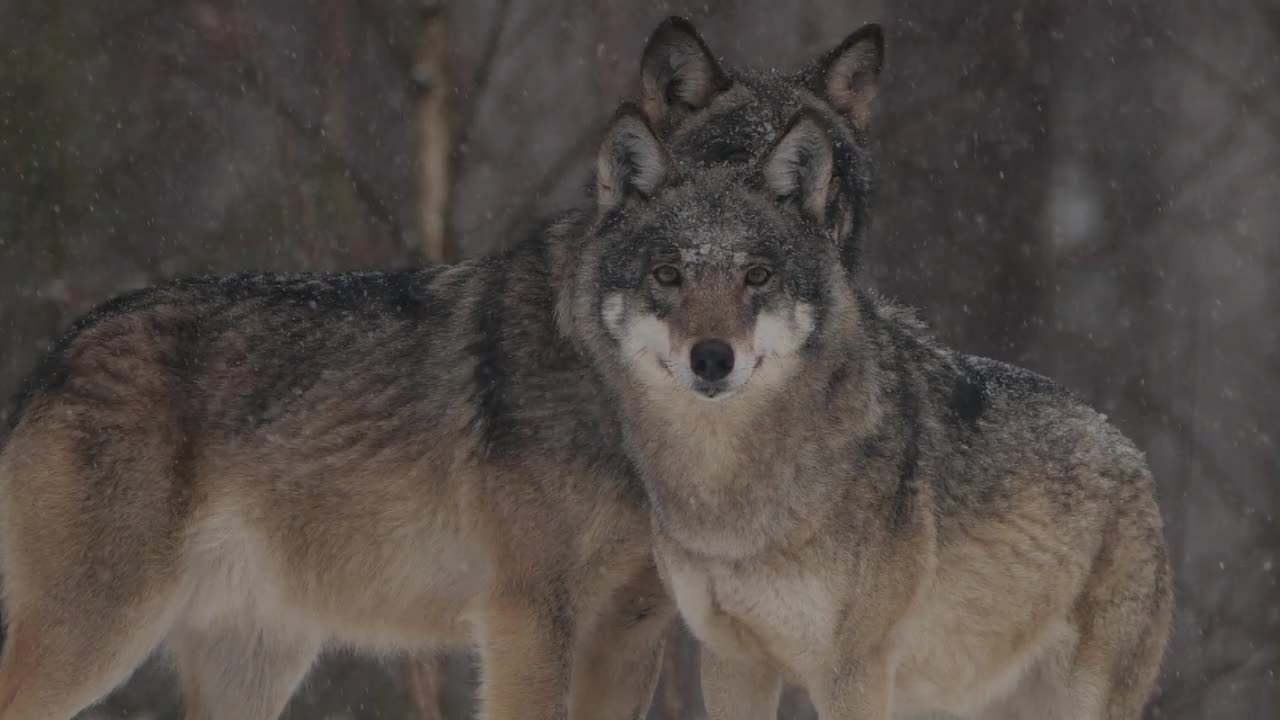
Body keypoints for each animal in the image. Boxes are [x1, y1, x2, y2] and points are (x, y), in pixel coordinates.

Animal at [565, 99, 1172, 712]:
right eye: (668, 274)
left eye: (757, 275)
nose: (712, 358)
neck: (729, 490)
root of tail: (1131, 455)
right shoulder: (731, 661)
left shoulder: (852, 669)